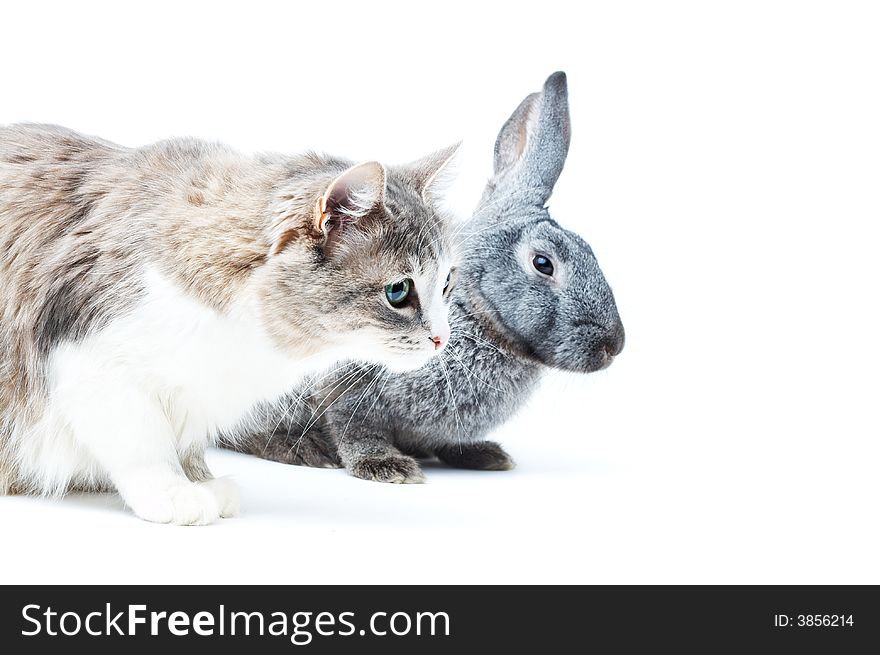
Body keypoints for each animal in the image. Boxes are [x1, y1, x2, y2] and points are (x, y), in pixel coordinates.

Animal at [0, 123, 454, 524]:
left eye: (447, 283)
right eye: (398, 291)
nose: (441, 339)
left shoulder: (198, 394)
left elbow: (186, 446)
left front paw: (202, 482)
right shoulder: (92, 363)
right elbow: (144, 445)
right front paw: (173, 492)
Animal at [227, 70, 624, 482]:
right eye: (543, 263)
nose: (613, 346)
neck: (474, 314)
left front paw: (483, 455)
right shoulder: (344, 381)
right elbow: (353, 426)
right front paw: (386, 466)